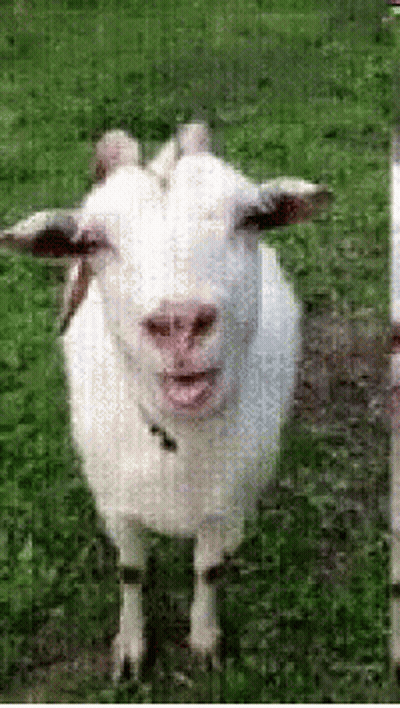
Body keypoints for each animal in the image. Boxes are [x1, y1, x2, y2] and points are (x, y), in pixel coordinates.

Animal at [0, 123, 330, 678]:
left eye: (252, 218)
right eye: (91, 241)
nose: (180, 322)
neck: (181, 444)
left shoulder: (223, 507)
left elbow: (210, 569)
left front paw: (204, 638)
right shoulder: (117, 505)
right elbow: (131, 572)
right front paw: (131, 648)